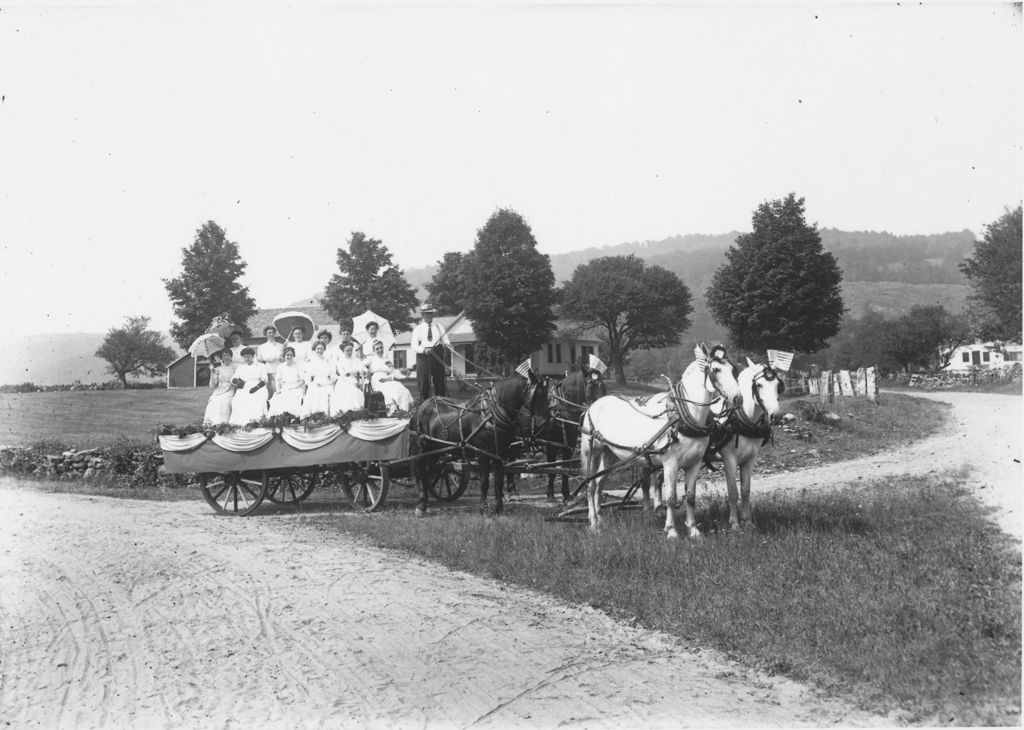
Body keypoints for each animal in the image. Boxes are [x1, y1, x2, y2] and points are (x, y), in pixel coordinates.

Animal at [409, 372, 552, 516]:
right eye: (537, 395)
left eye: (546, 394)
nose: (546, 422)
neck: (493, 414)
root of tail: (421, 406)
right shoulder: (484, 453)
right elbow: (484, 482)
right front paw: (484, 509)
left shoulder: (501, 453)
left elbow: (499, 482)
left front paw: (499, 509)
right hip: (421, 449)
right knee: (420, 472)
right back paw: (420, 506)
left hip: (435, 451)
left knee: (427, 473)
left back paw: (425, 504)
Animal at [536, 360, 606, 501]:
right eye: (590, 388)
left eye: (604, 387)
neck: (560, 408)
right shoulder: (551, 443)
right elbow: (551, 468)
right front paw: (550, 493)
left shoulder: (570, 443)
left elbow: (565, 468)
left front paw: (566, 493)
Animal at [581, 344, 741, 536]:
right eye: (716, 369)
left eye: (733, 370)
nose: (738, 398)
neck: (682, 417)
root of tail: (594, 404)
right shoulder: (670, 463)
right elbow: (671, 498)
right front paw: (671, 531)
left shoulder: (694, 463)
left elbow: (690, 497)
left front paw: (693, 530)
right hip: (592, 451)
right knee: (590, 486)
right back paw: (592, 523)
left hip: (610, 453)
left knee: (599, 484)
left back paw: (600, 520)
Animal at [712, 358, 782, 528]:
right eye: (759, 385)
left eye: (778, 385)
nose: (776, 416)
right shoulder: (729, 459)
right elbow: (732, 491)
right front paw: (734, 523)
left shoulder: (750, 459)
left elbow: (745, 490)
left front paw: (748, 521)